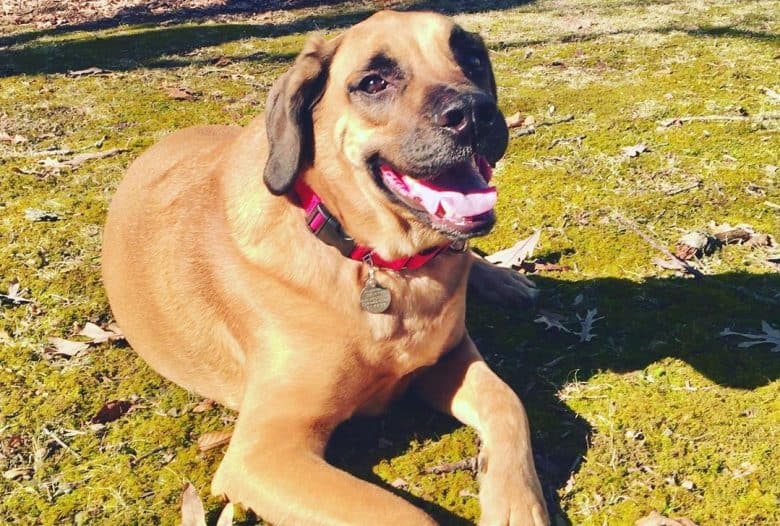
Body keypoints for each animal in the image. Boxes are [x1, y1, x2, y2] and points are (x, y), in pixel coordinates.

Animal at [102, 9, 548, 526]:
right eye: (374, 82)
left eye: (473, 59)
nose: (476, 113)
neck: (376, 263)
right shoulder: (264, 452)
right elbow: (400, 514)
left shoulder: (450, 357)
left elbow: (507, 401)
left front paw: (516, 502)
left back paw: (507, 280)